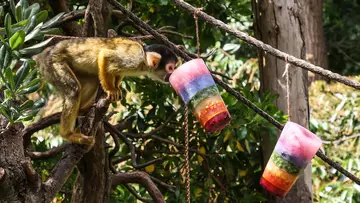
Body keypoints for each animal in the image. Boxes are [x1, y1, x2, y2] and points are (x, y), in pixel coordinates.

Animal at [34, 38, 178, 145]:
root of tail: (44, 53)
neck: (143, 59)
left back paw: (81, 110)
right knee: (73, 89)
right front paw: (111, 89)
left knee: (91, 81)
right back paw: (68, 134)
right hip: (53, 64)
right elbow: (105, 55)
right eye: (170, 68)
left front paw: (117, 87)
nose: (171, 76)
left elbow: (117, 71)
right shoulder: (133, 58)